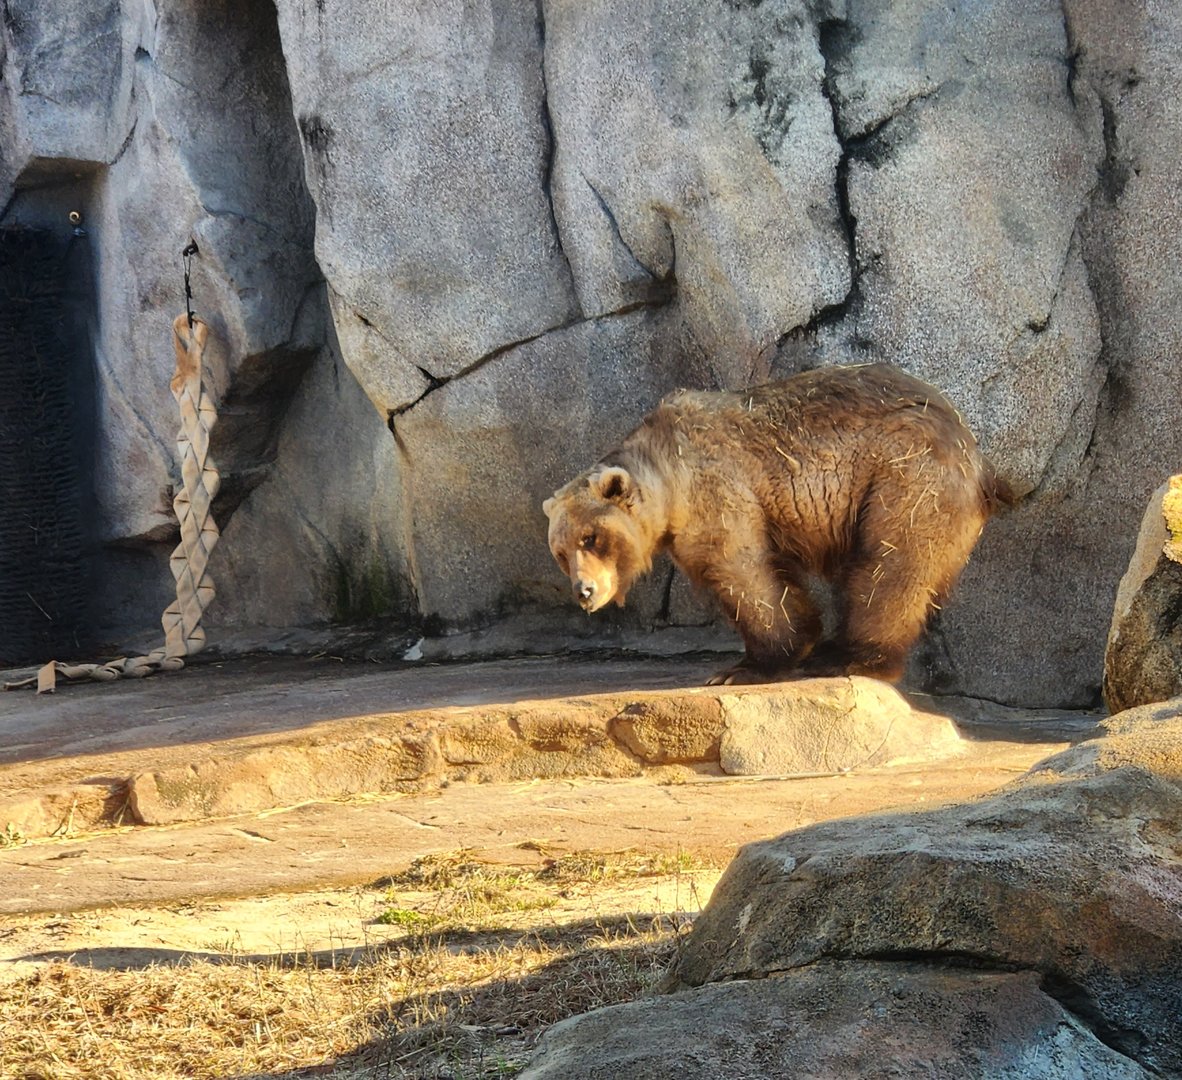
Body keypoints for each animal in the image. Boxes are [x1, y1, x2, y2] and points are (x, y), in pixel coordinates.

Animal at [543, 363, 1012, 685]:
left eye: (591, 537)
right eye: (561, 553)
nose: (584, 591)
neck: (668, 480)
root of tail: (978, 458)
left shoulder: (716, 488)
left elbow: (743, 572)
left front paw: (742, 667)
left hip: (907, 478)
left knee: (890, 565)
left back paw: (852, 656)